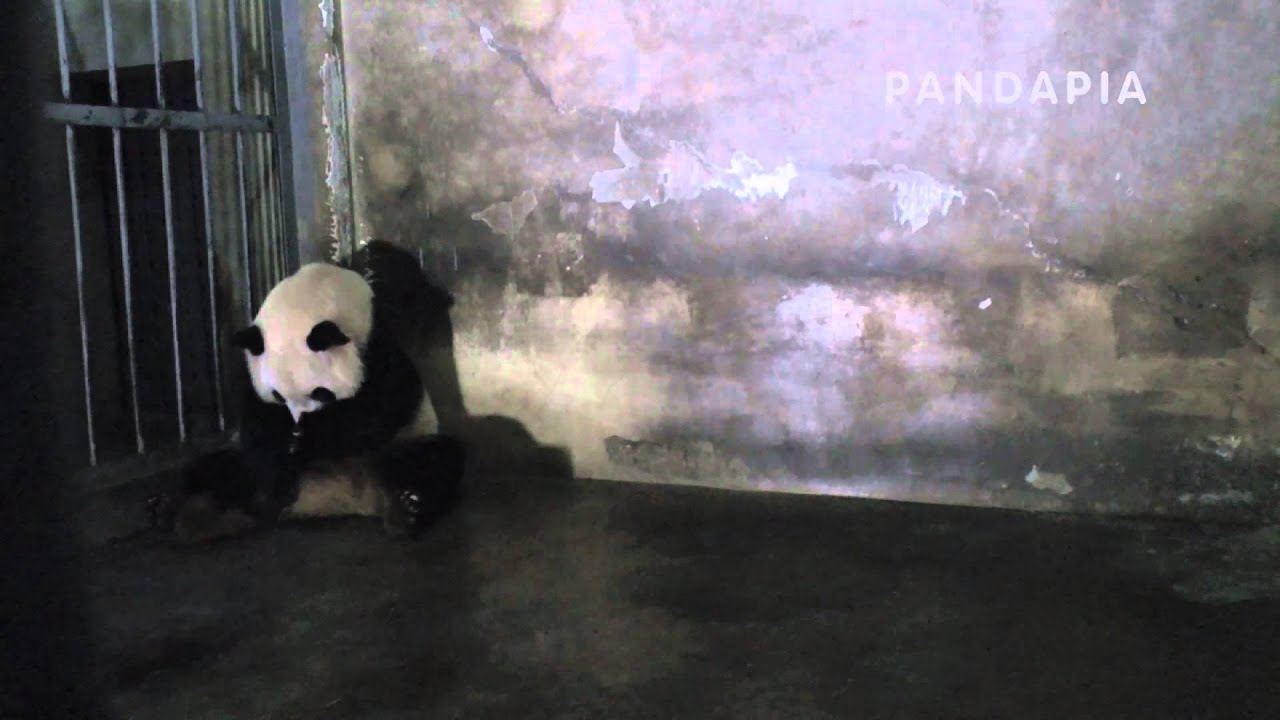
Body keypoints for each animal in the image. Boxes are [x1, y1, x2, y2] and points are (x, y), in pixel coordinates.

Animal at [151, 240, 468, 543]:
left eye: (321, 393)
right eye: (278, 396)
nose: (298, 427)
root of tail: (330, 497)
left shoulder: (377, 349)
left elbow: (378, 412)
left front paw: (307, 440)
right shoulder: (250, 366)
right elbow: (258, 426)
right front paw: (286, 454)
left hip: (401, 443)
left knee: (429, 459)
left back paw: (409, 506)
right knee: (222, 470)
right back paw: (177, 508)